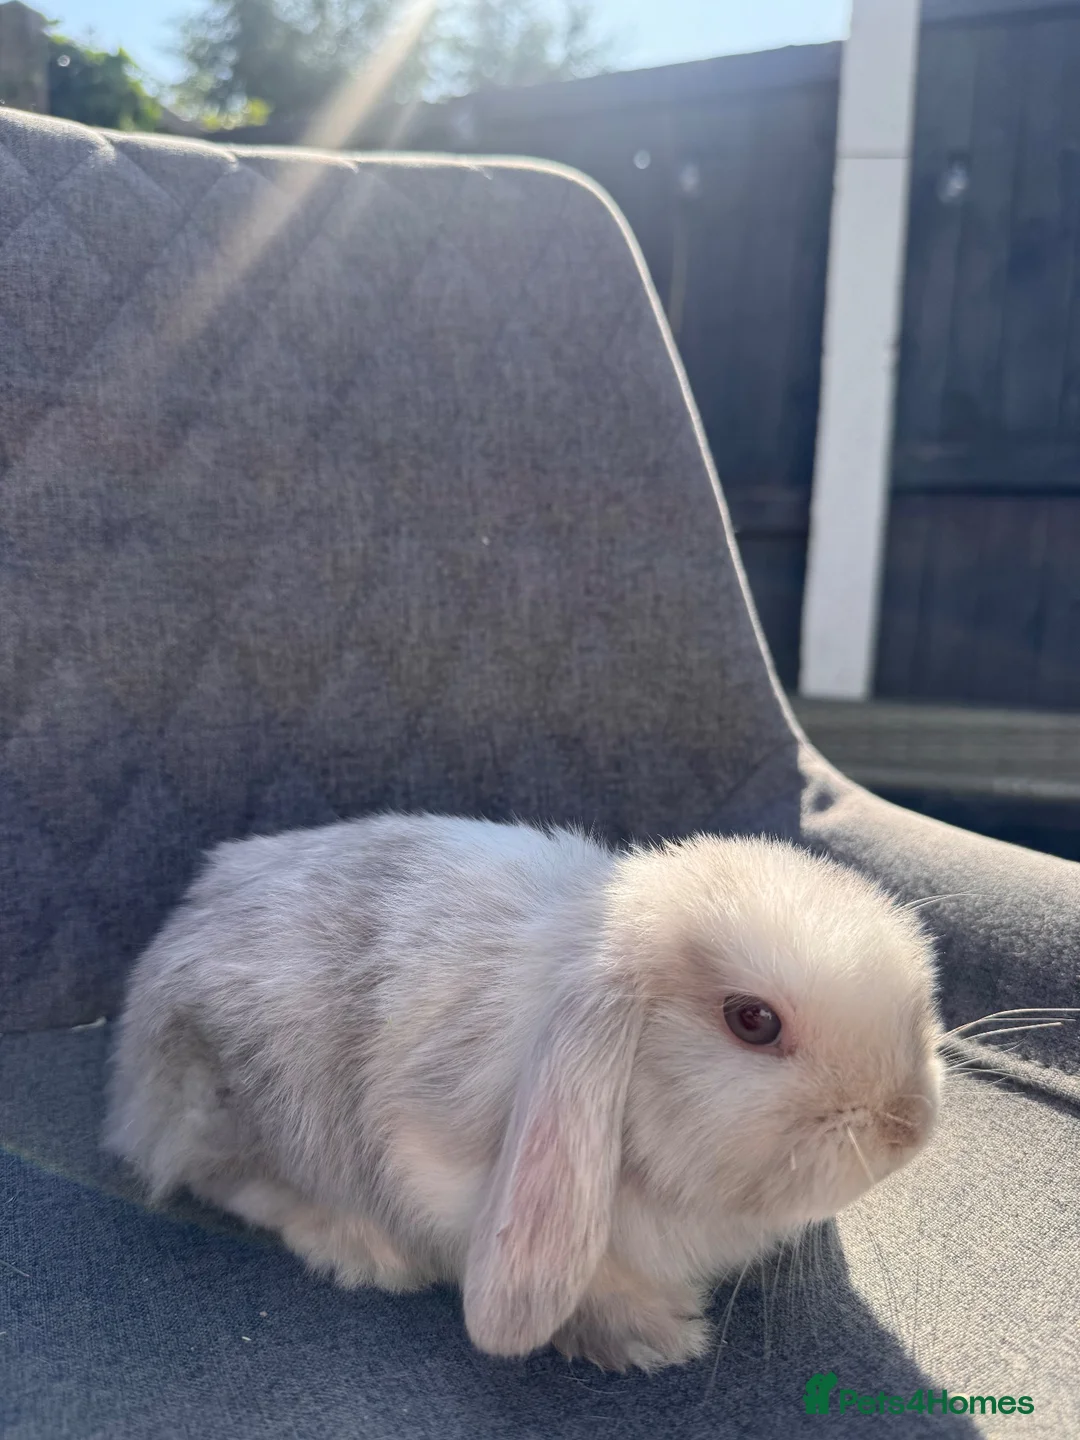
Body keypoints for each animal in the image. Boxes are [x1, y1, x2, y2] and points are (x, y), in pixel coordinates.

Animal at [104, 813, 943, 1372]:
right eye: (753, 1021)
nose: (909, 1125)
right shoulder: (437, 1170)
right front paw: (654, 1335)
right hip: (235, 1096)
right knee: (231, 1179)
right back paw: (363, 1250)